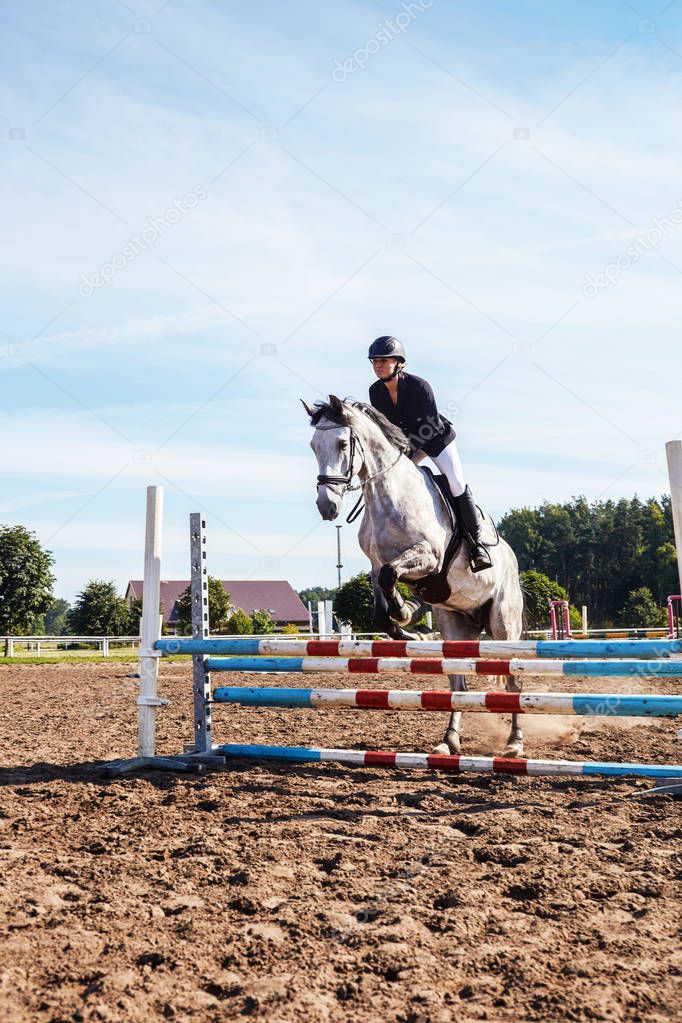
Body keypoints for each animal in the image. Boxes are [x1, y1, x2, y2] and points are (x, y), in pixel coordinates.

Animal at [306, 394, 527, 757]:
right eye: (313, 446)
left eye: (342, 444)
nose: (327, 507)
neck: (387, 495)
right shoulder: (376, 566)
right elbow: (382, 607)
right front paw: (410, 624)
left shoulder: (429, 558)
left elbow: (392, 578)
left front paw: (407, 614)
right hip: (455, 622)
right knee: (458, 684)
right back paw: (448, 741)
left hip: (503, 623)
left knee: (512, 680)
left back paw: (514, 743)